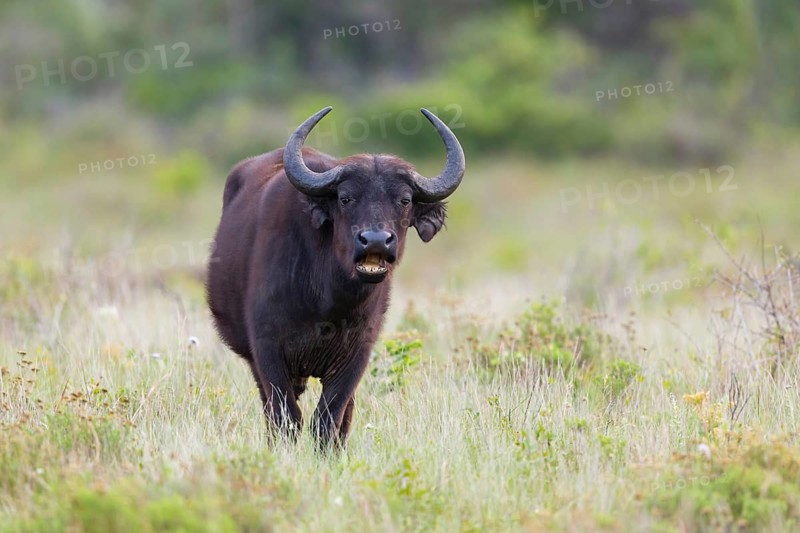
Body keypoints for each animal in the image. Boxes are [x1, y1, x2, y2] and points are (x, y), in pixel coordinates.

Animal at [206, 106, 465, 447]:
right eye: (345, 198)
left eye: (405, 200)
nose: (376, 240)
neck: (327, 300)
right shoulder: (266, 349)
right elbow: (286, 417)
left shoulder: (357, 355)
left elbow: (329, 417)